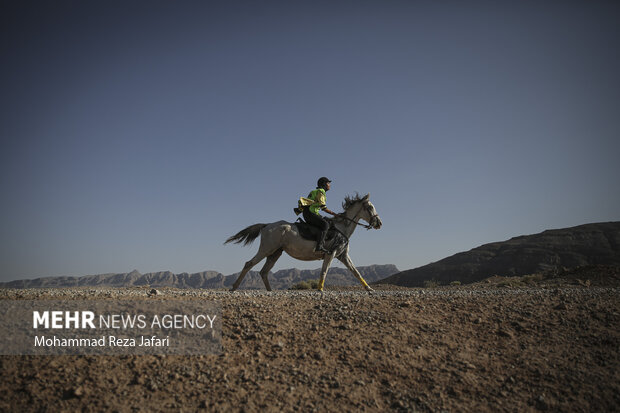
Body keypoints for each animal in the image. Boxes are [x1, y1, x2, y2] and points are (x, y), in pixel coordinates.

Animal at [225, 192, 382, 290]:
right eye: (370, 207)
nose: (379, 223)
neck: (342, 228)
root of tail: (266, 225)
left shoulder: (343, 256)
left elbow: (356, 272)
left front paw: (369, 289)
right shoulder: (330, 254)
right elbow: (324, 272)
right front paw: (320, 290)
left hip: (275, 253)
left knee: (264, 272)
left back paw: (270, 291)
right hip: (266, 249)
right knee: (249, 264)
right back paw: (234, 288)